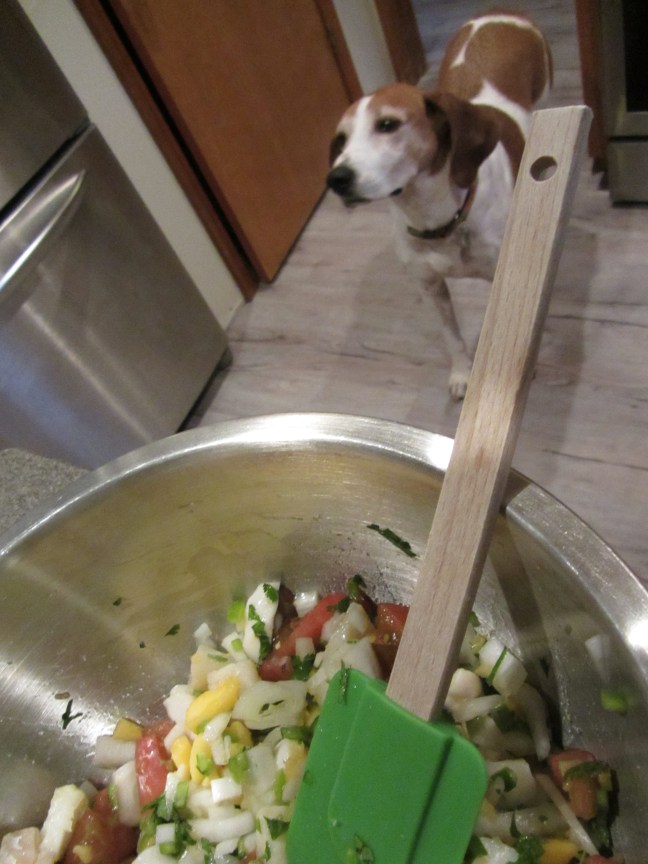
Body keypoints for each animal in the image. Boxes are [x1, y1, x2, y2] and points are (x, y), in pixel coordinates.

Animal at [327, 12, 552, 399]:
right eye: (341, 140)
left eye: (388, 124)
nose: (336, 178)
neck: (438, 217)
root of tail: (501, 13)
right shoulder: (429, 286)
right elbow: (451, 336)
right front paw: (462, 373)